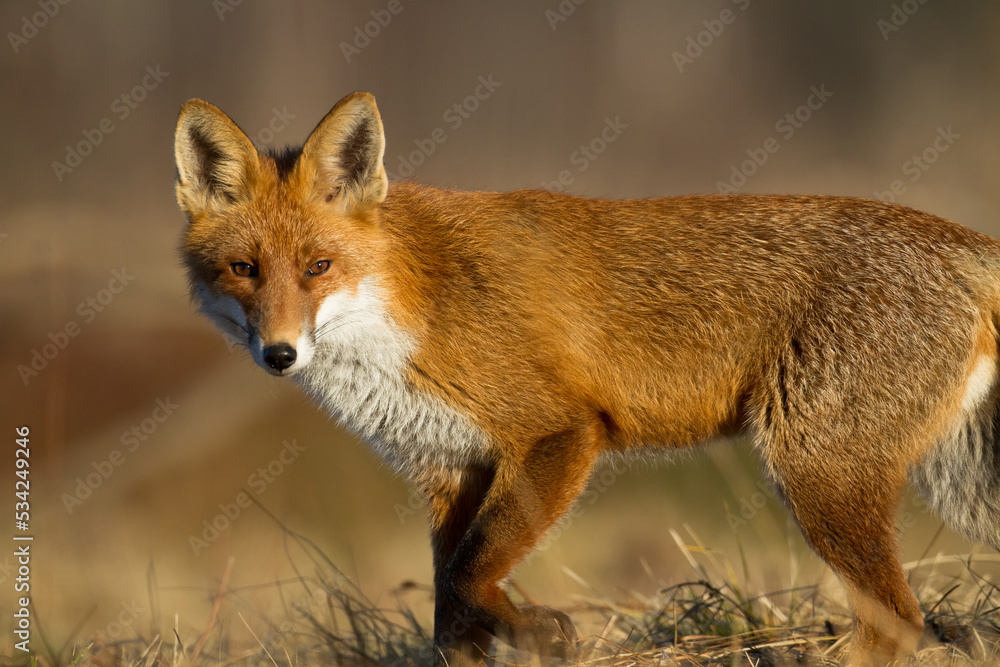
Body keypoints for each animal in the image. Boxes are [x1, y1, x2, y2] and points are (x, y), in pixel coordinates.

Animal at [174, 91, 1000, 666]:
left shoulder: (557, 433)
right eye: (244, 269)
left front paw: (547, 632)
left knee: (900, 620)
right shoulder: (452, 468)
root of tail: (958, 237)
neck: (407, 306)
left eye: (319, 267)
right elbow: (453, 610)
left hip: (818, 476)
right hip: (944, 484)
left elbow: (472, 578)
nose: (280, 354)